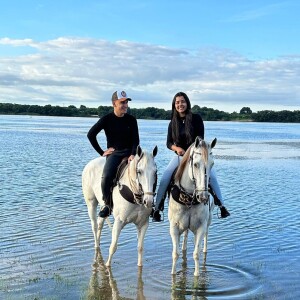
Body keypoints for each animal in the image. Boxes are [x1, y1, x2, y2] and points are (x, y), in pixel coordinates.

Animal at [169, 137, 216, 276]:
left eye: (212, 164)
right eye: (195, 164)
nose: (203, 197)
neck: (189, 197)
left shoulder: (201, 227)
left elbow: (196, 254)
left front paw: (197, 274)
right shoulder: (174, 228)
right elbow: (175, 254)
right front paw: (173, 274)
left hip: (209, 221)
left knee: (205, 238)